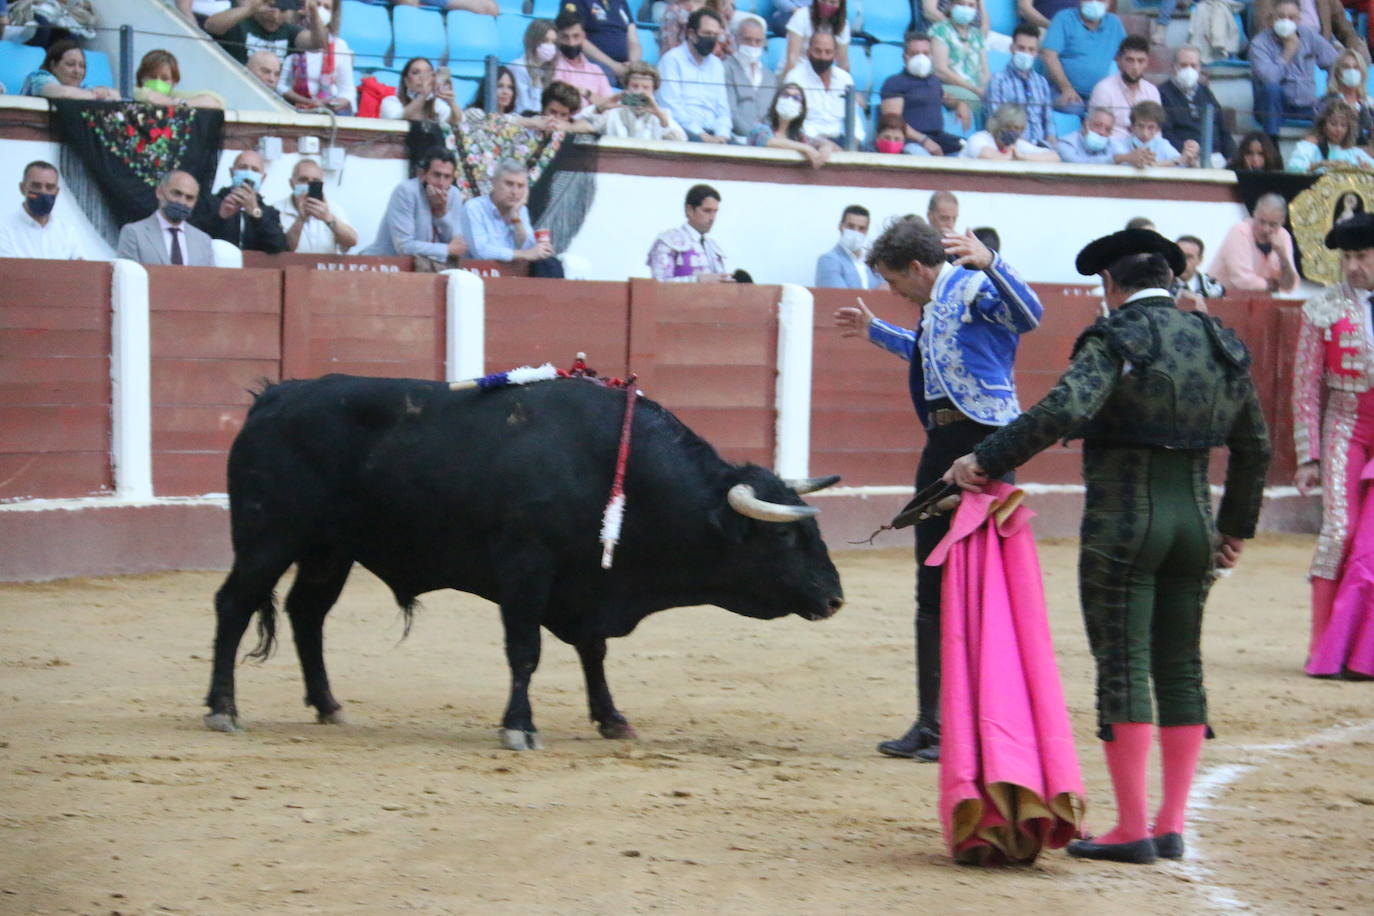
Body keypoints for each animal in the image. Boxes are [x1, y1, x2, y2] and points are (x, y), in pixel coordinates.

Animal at [204, 373, 846, 752]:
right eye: (785, 541)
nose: (835, 596)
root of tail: (274, 396)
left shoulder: (588, 585)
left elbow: (593, 652)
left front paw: (612, 718)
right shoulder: (525, 568)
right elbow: (525, 650)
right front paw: (519, 725)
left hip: (331, 550)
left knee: (307, 615)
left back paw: (330, 707)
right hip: (269, 537)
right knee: (234, 605)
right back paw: (223, 710)